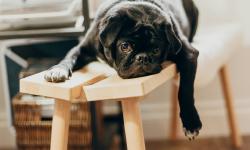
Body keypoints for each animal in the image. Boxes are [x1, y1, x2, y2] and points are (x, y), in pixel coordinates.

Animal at [44, 0, 202, 139]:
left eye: (156, 50)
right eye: (125, 46)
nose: (142, 57)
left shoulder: (188, 54)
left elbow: (185, 90)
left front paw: (191, 122)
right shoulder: (82, 48)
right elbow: (68, 58)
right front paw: (57, 70)